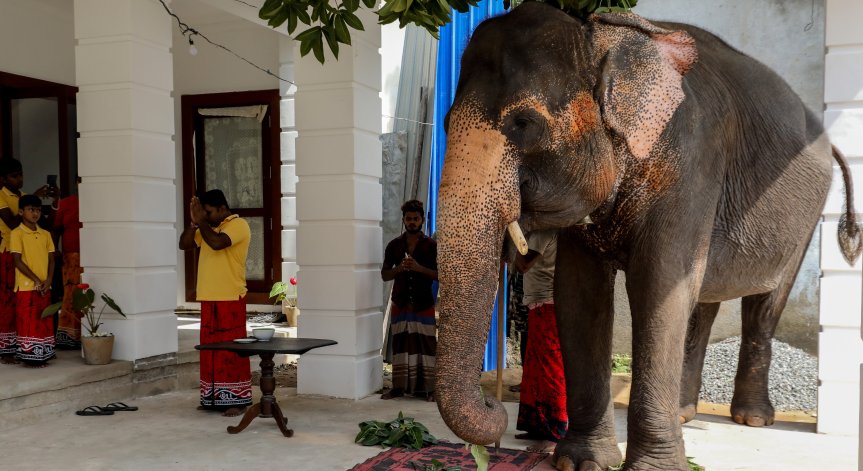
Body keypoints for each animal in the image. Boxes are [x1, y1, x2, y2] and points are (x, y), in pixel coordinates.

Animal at [433, 2, 862, 471]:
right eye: (446, 122)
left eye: (524, 122)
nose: (493, 409)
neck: (605, 36)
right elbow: (579, 294)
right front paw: (582, 463)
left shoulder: (690, 163)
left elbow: (658, 284)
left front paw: (652, 468)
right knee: (703, 300)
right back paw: (685, 412)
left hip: (806, 216)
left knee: (765, 302)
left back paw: (752, 419)